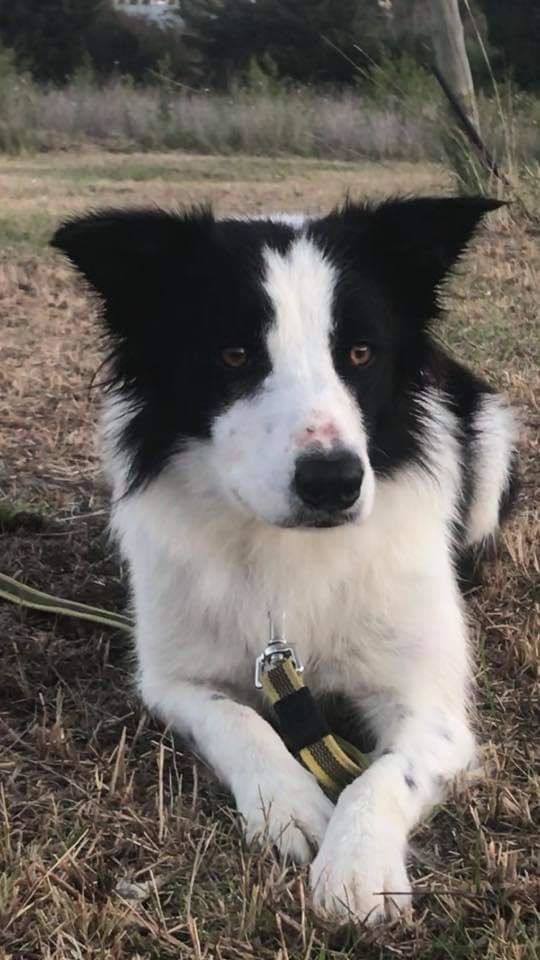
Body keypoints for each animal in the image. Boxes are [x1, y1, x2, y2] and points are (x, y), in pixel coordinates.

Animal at [53, 199, 516, 928]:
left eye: (360, 353)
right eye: (234, 355)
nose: (334, 483)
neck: (286, 550)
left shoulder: (430, 704)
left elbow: (387, 772)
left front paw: (357, 865)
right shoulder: (174, 679)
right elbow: (239, 722)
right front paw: (290, 804)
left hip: (497, 443)